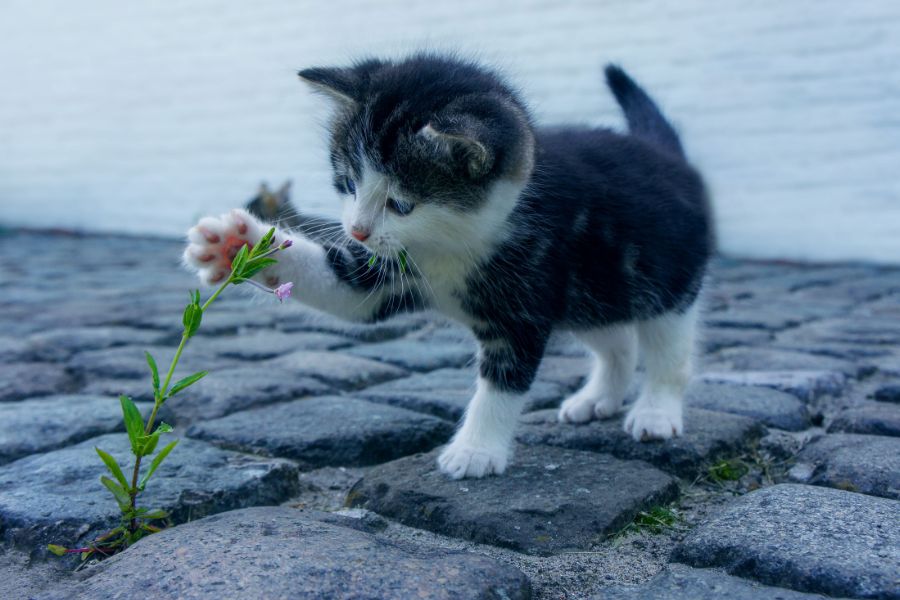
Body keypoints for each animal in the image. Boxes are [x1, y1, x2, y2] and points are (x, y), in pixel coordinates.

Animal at [186, 54, 712, 480]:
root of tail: (667, 155)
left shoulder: (525, 300)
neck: (451, 243)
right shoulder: (388, 271)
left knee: (668, 350)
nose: (356, 230)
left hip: (665, 280)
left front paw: (476, 450)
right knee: (617, 340)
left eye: (401, 204)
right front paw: (237, 245)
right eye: (348, 183)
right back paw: (598, 397)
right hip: (591, 292)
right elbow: (345, 289)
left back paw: (656, 411)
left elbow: (503, 381)